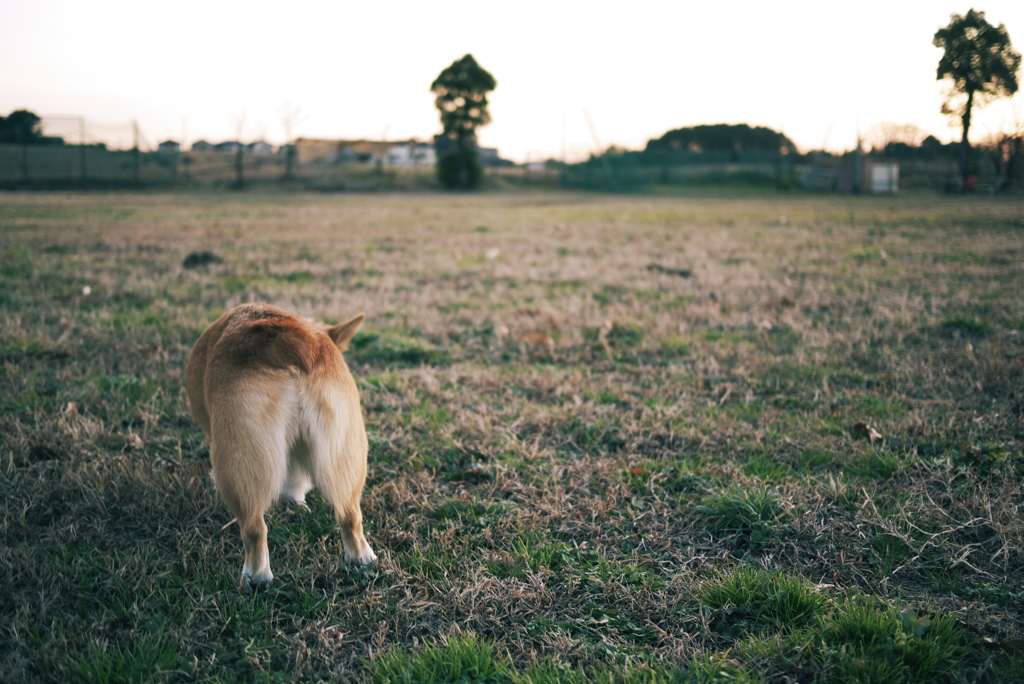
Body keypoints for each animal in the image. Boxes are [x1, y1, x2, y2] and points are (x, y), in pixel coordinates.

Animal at [185, 305, 376, 589]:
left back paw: (255, 578)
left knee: (254, 527)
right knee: (349, 514)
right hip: (344, 448)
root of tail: (286, 337)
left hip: (238, 455)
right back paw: (362, 559)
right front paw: (295, 503)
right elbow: (295, 480)